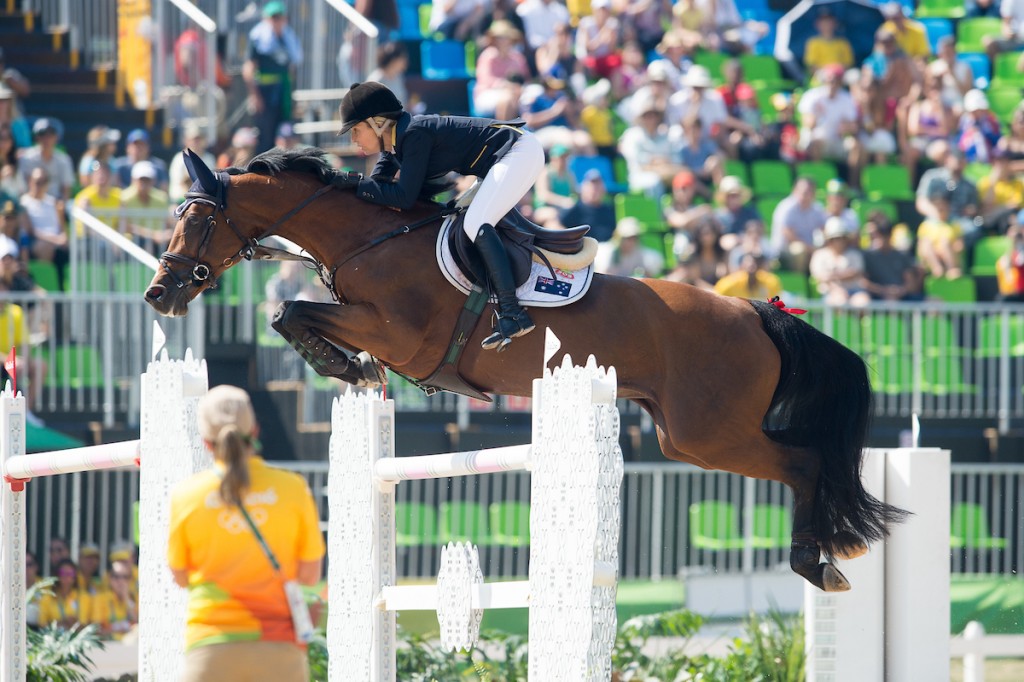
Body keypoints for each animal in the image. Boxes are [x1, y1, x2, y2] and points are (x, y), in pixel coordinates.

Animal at [142, 148, 905, 589]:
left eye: (196, 220)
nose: (160, 293)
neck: (370, 238)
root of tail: (756, 311)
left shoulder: (399, 333)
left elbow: (293, 311)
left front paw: (345, 365)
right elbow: (291, 314)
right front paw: (349, 370)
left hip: (709, 432)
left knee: (806, 462)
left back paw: (817, 562)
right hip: (686, 437)